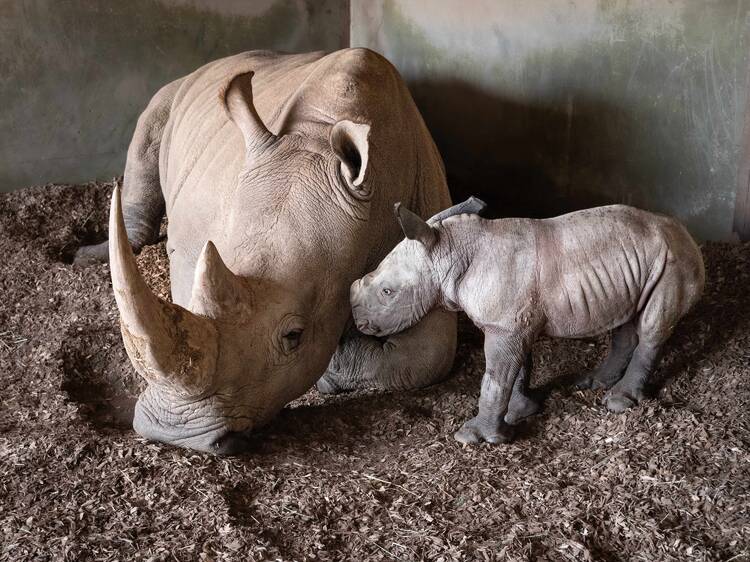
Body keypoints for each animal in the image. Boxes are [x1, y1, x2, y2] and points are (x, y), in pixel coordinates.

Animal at [352, 199, 704, 444]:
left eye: (387, 292)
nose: (358, 322)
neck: (449, 251)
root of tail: (686, 234)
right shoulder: (512, 323)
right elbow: (518, 369)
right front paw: (519, 411)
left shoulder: (506, 325)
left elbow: (495, 378)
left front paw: (475, 437)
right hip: (639, 264)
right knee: (625, 319)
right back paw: (594, 383)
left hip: (672, 261)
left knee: (651, 328)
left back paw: (618, 401)